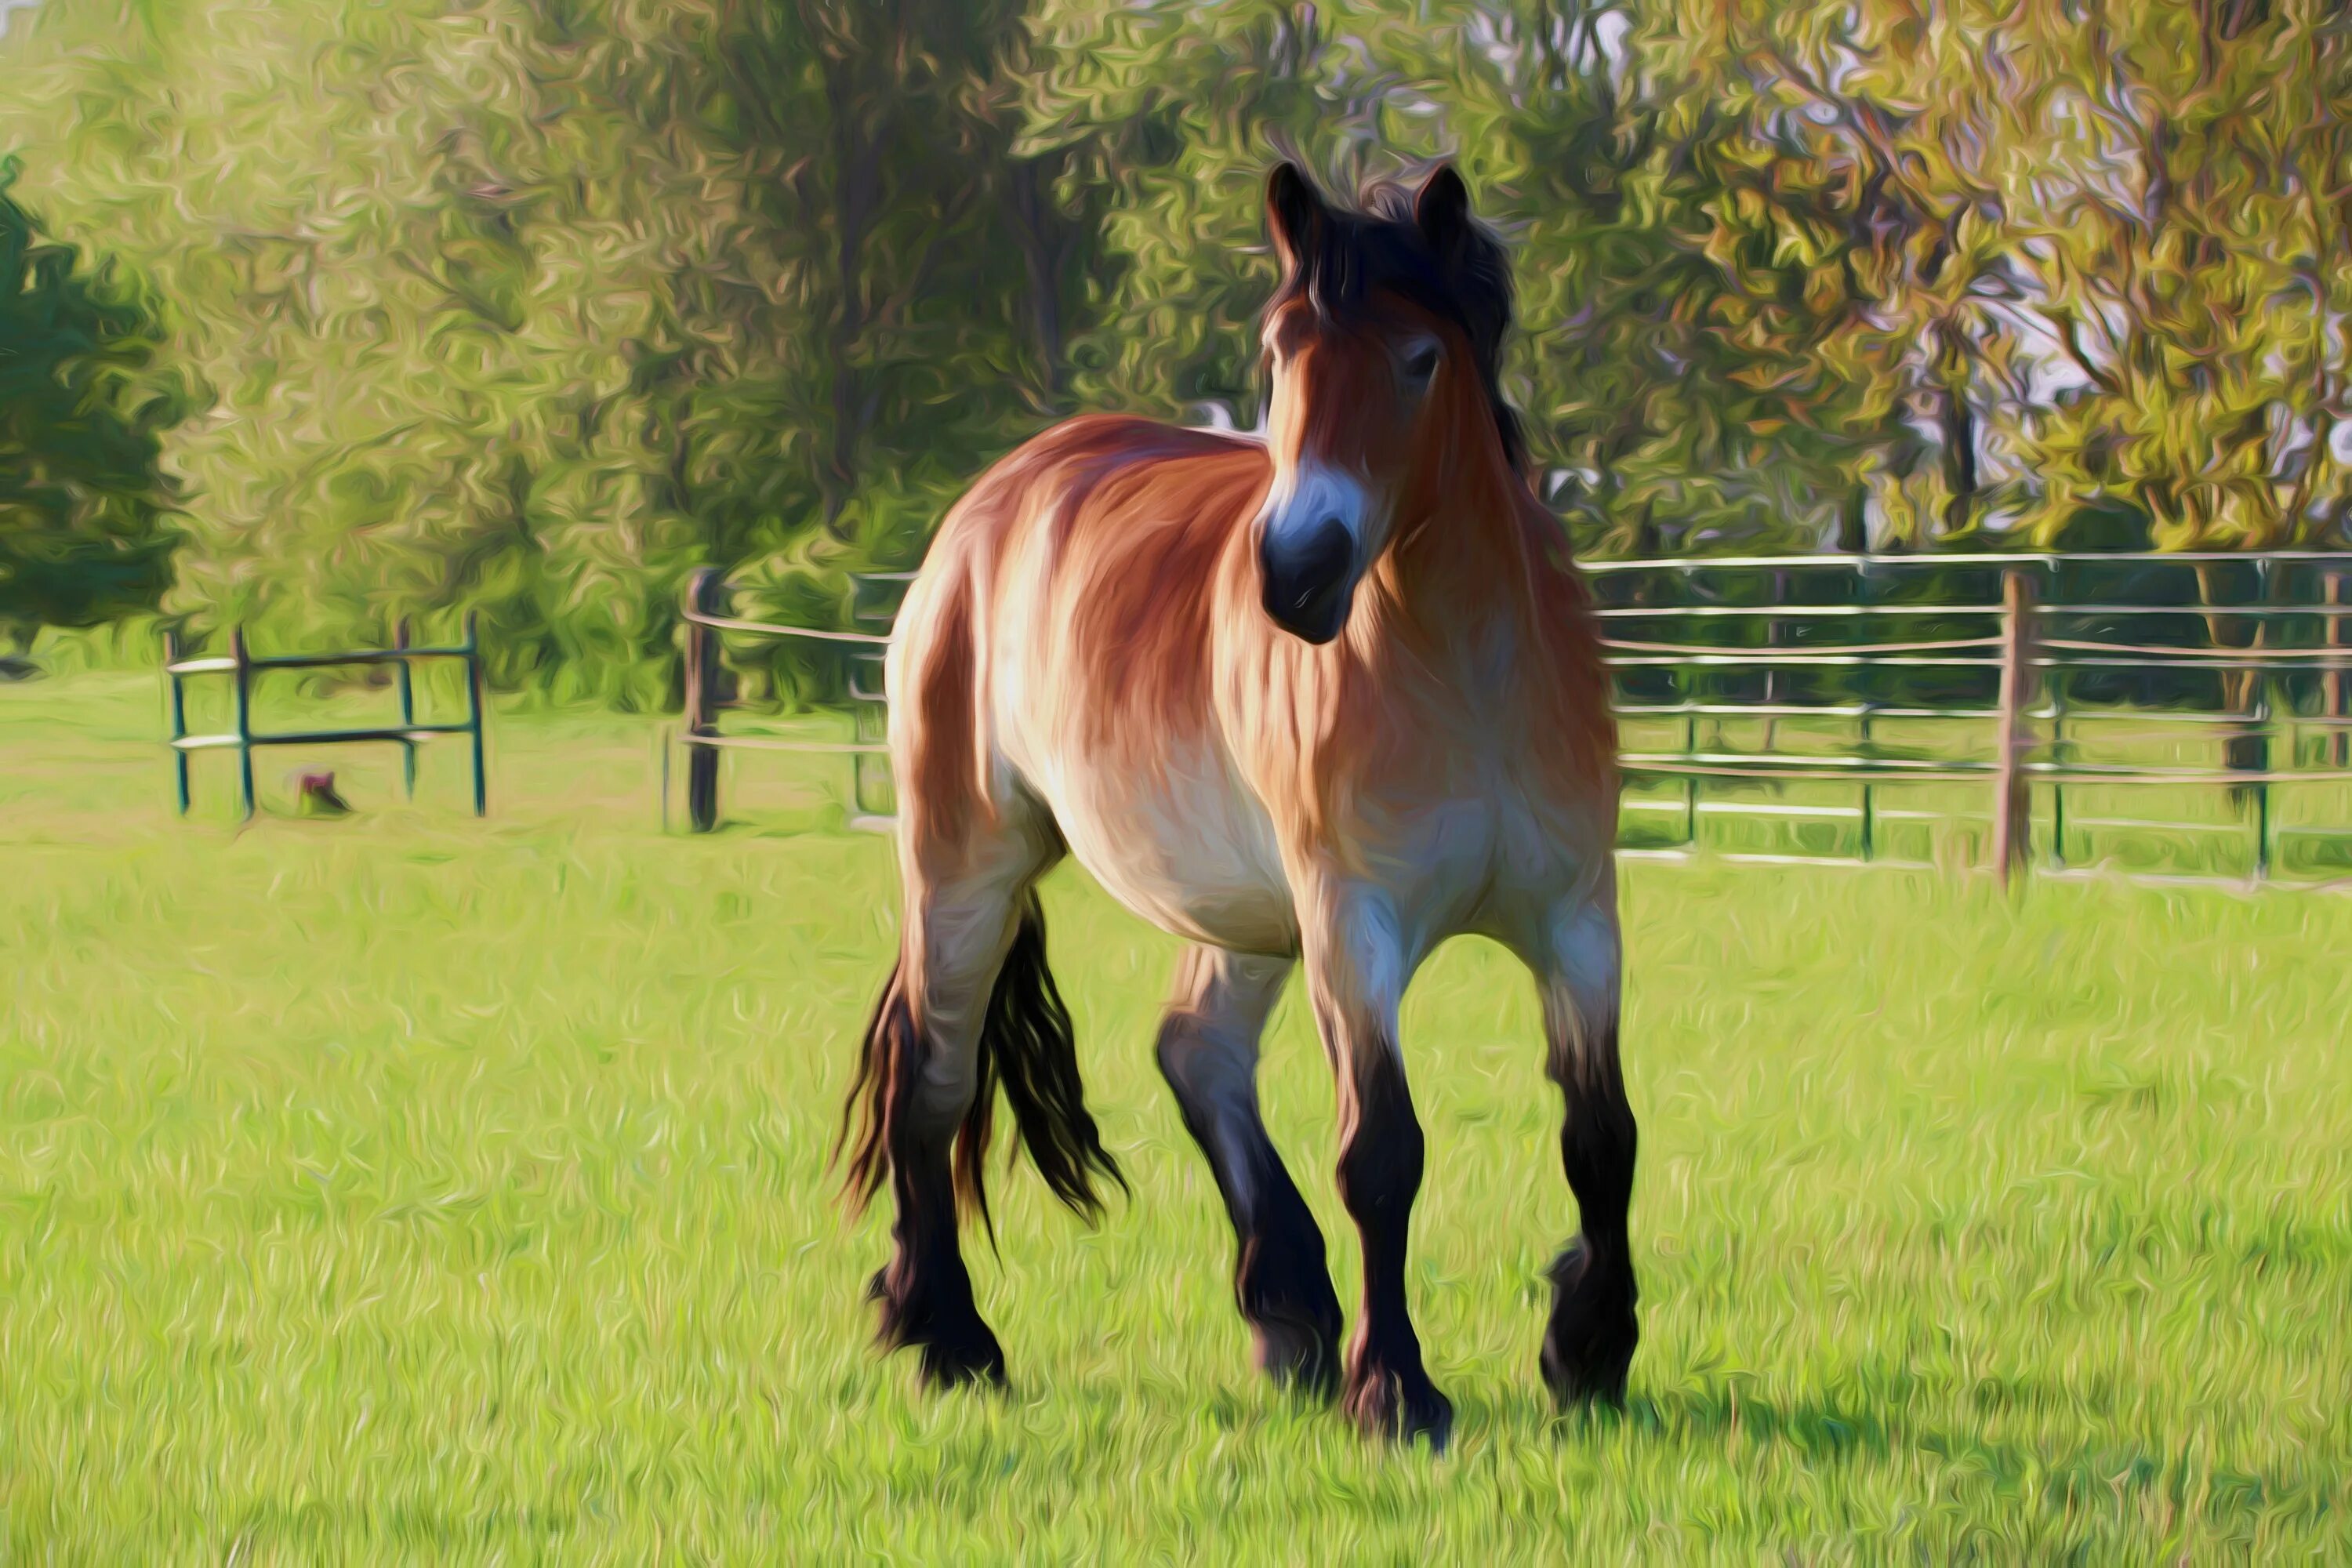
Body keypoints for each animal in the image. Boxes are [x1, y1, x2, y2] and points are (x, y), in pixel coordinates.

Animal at [842, 156, 1637, 1448]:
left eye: (1420, 360)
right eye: (1279, 353)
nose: (1297, 574)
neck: (1467, 671)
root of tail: (990, 503)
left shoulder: (1576, 916)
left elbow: (1599, 1133)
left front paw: (1591, 1347)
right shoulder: (1353, 922)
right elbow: (1383, 1153)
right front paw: (1397, 1389)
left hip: (1246, 909)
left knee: (1195, 1050)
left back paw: (1289, 1311)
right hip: (968, 867)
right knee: (934, 1075)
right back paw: (951, 1338)